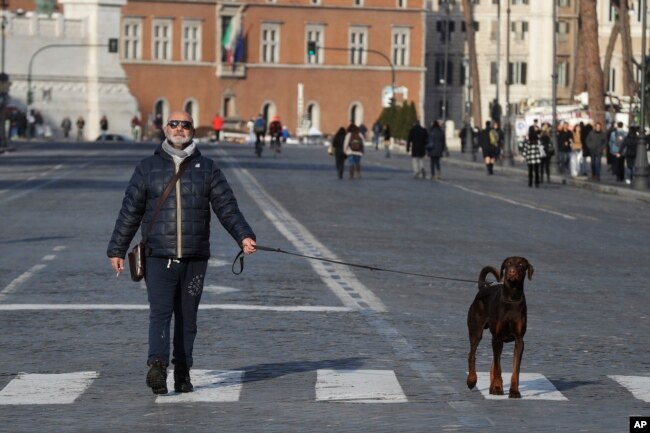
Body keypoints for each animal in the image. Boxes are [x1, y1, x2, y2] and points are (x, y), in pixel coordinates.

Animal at [466, 256, 532, 398]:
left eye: (521, 265)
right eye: (508, 264)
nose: (512, 271)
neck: (512, 297)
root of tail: (483, 288)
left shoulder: (519, 340)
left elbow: (515, 370)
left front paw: (514, 391)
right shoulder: (497, 337)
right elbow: (497, 367)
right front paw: (497, 387)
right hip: (476, 331)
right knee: (472, 354)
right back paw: (472, 380)